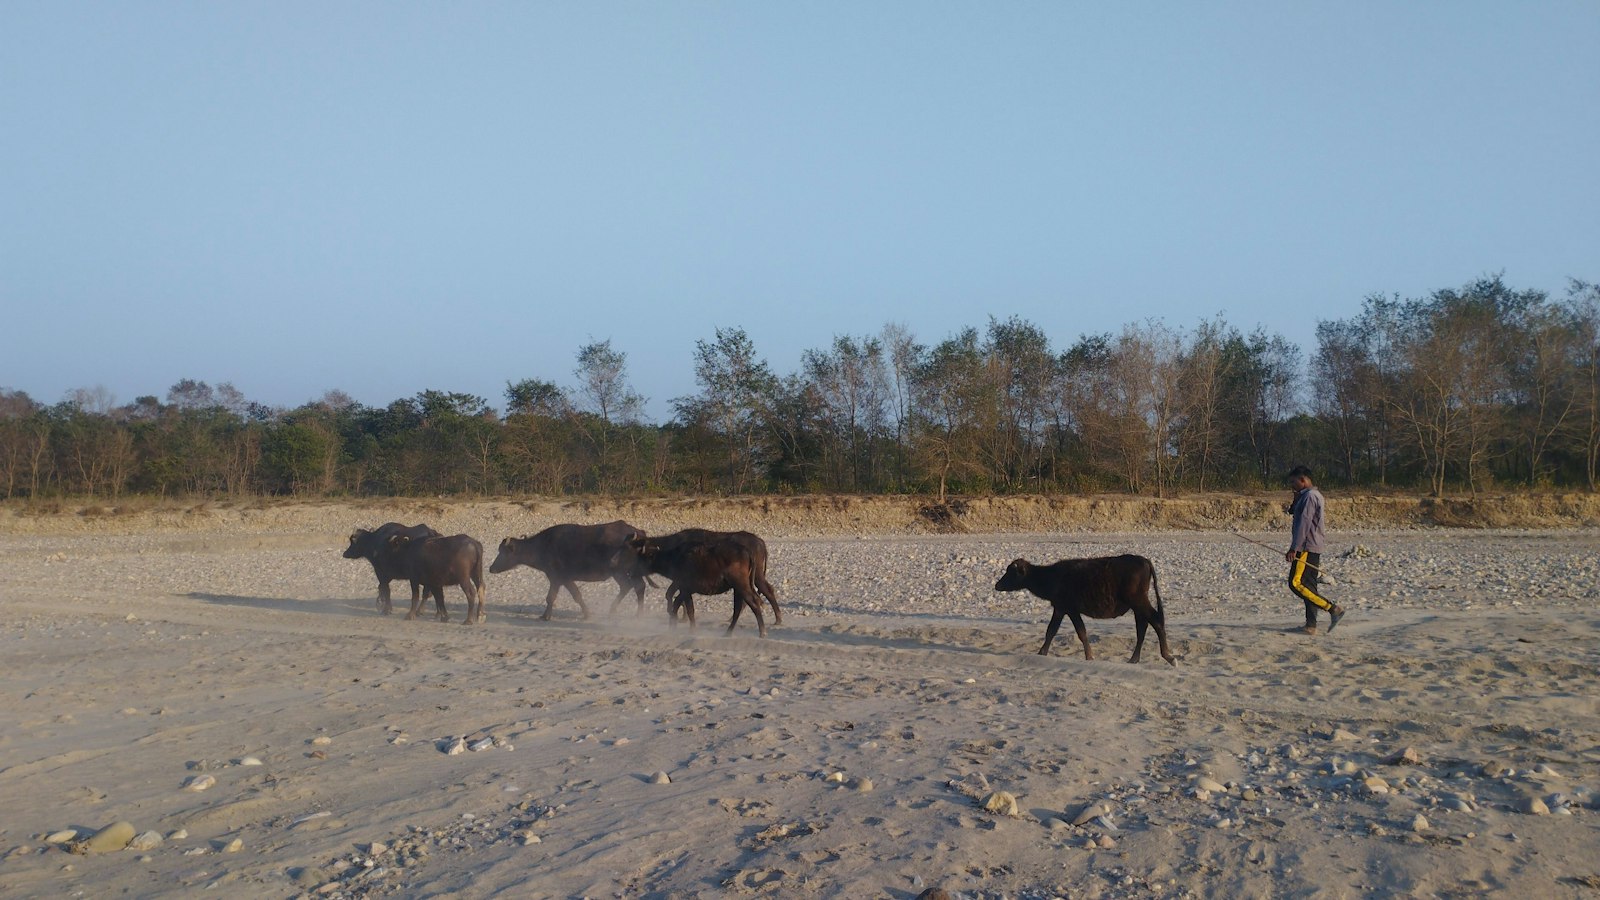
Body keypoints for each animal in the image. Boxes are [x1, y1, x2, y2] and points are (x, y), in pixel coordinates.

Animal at [488, 521, 653, 621]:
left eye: (503, 552)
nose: (491, 568)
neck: (543, 547)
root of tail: (639, 532)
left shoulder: (558, 578)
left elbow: (557, 597)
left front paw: (546, 616)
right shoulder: (561, 579)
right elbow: (567, 596)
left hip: (621, 571)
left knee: (636, 586)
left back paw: (637, 614)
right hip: (621, 573)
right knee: (631, 586)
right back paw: (616, 610)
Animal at [615, 528, 780, 625]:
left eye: (627, 549)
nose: (614, 561)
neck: (671, 550)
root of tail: (760, 542)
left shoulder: (680, 582)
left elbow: (672, 595)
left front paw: (678, 615)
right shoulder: (680, 582)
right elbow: (673, 595)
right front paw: (679, 615)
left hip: (756, 576)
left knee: (767, 591)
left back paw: (778, 619)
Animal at [994, 555, 1176, 666]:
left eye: (1011, 572)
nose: (997, 585)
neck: (1052, 576)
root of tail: (1143, 560)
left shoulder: (1068, 609)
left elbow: (1076, 632)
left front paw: (1088, 656)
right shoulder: (1062, 609)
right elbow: (1054, 631)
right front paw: (1042, 652)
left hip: (1139, 602)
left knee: (1156, 621)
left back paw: (1168, 656)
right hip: (1137, 606)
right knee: (1142, 628)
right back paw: (1134, 659)